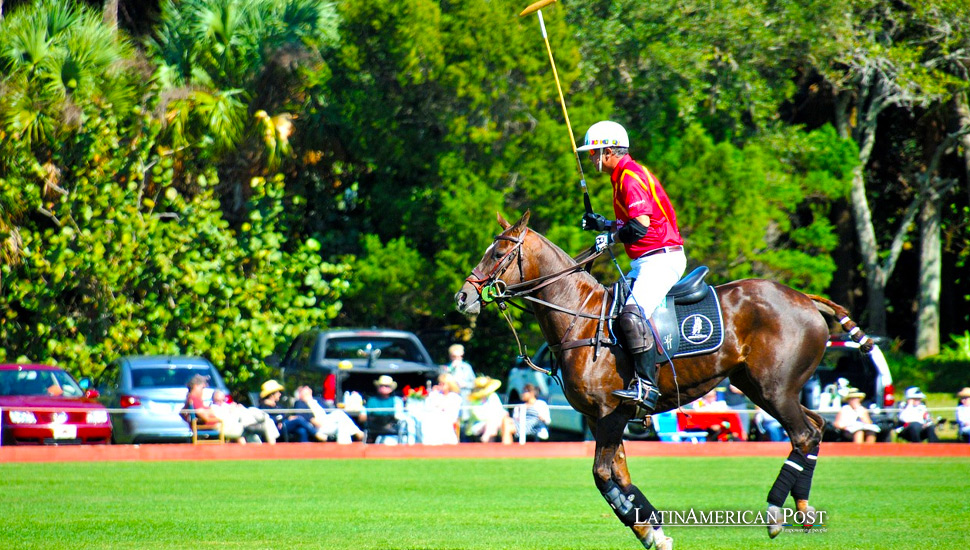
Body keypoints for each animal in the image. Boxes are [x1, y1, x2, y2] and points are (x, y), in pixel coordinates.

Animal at [454, 210, 868, 548]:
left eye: (498, 253)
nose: (463, 298)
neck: (581, 317)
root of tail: (806, 299)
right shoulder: (599, 418)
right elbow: (619, 477)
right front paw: (652, 531)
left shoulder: (613, 412)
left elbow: (602, 474)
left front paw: (649, 529)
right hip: (761, 386)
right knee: (816, 427)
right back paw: (805, 510)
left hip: (774, 388)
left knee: (804, 433)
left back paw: (775, 513)